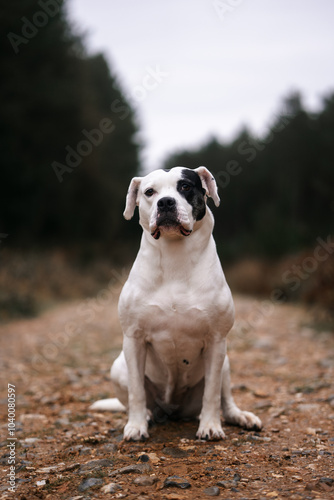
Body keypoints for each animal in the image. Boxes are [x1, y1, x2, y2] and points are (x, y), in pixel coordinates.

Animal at [92, 166, 264, 440]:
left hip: (225, 362)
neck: (175, 257)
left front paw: (210, 426)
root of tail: (173, 411)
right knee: (135, 397)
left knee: (226, 400)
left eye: (185, 186)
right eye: (149, 192)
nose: (166, 202)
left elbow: (212, 392)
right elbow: (136, 391)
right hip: (117, 368)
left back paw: (241, 417)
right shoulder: (133, 339)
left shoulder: (217, 341)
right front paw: (136, 426)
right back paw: (146, 416)